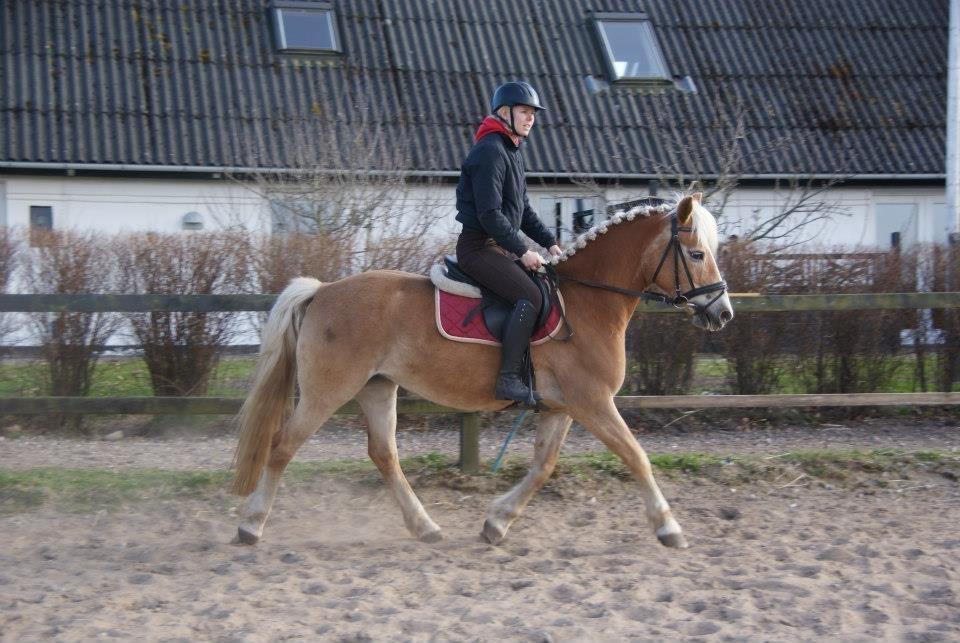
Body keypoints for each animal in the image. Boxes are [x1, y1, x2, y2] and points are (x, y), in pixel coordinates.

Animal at [232, 194, 736, 552]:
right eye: (695, 254)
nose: (723, 313)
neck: (587, 301)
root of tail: (322, 291)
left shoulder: (562, 408)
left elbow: (543, 467)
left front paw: (497, 522)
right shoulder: (593, 402)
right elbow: (637, 457)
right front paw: (668, 527)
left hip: (378, 388)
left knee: (384, 455)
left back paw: (425, 527)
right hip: (327, 392)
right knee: (282, 447)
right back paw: (251, 525)